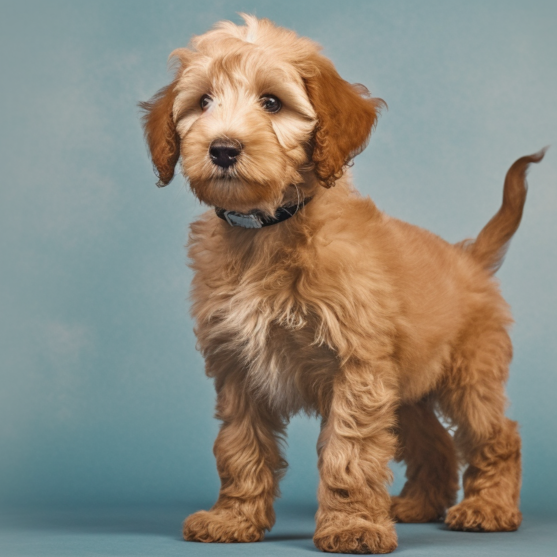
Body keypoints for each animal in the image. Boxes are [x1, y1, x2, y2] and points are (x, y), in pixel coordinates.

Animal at [139, 15, 544, 552]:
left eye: (272, 102)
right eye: (203, 102)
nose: (222, 149)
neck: (266, 231)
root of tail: (467, 256)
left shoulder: (356, 368)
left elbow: (349, 455)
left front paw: (353, 525)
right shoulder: (238, 367)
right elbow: (240, 448)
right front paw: (233, 518)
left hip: (470, 376)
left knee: (498, 435)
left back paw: (488, 508)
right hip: (407, 389)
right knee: (432, 439)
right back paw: (418, 505)